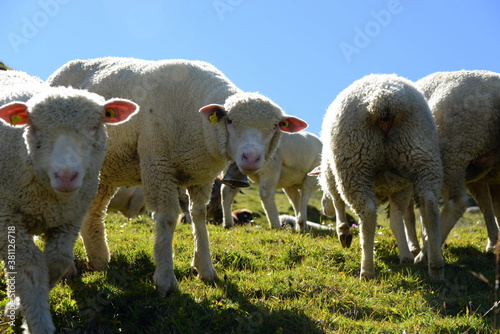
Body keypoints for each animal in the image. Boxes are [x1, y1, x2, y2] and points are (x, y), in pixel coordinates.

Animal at [0, 70, 138, 332]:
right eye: (35, 127)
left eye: (96, 126)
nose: (66, 176)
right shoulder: (7, 219)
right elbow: (29, 270)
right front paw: (36, 323)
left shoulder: (69, 219)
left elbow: (57, 259)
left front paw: (19, 307)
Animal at [47, 56, 306, 294]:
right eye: (231, 120)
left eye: (274, 126)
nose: (251, 158)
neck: (201, 123)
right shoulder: (158, 163)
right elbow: (168, 217)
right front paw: (165, 279)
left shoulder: (202, 176)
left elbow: (199, 214)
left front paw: (205, 269)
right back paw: (68, 269)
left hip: (107, 169)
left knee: (94, 211)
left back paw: (99, 259)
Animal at [318, 74, 444, 280]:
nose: (324, 210)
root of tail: (384, 99)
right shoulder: (401, 186)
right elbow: (396, 221)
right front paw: (406, 256)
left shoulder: (331, 175)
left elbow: (338, 202)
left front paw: (343, 232)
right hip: (421, 153)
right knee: (429, 204)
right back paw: (435, 268)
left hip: (354, 162)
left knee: (368, 213)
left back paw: (367, 270)